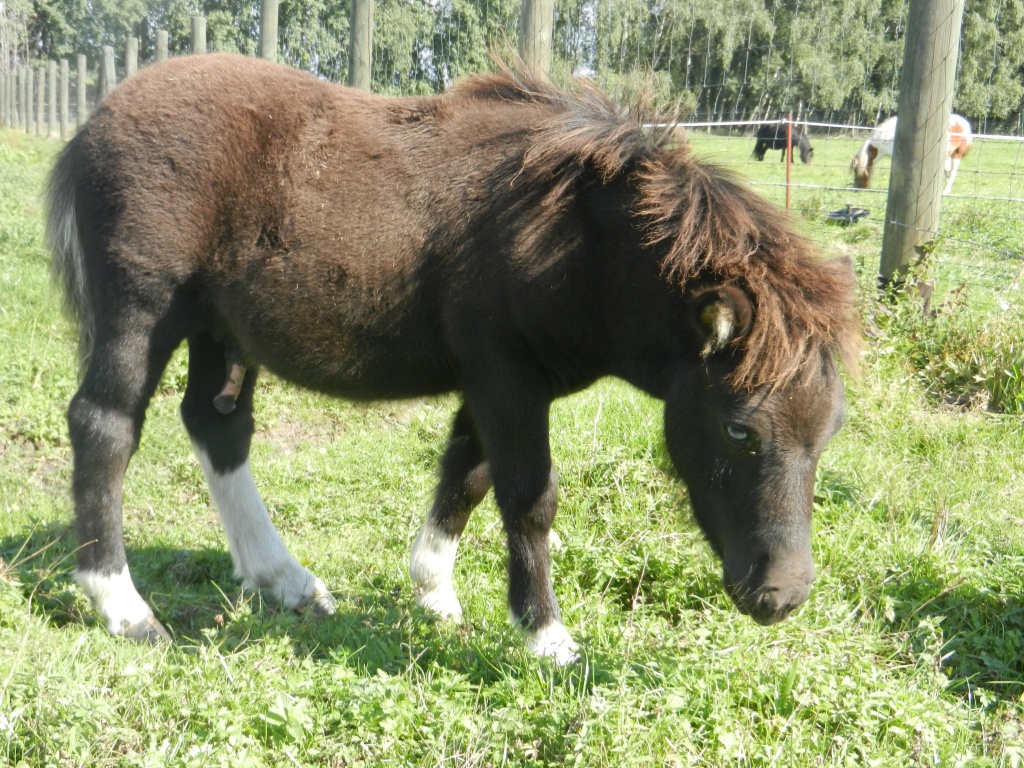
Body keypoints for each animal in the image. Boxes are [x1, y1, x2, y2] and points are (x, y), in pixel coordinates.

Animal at [47, 54, 861, 663]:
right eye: (739, 429)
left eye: (828, 434)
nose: (781, 596)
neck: (574, 238)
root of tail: (93, 121)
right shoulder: (509, 379)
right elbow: (529, 497)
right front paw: (548, 636)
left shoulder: (493, 381)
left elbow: (466, 476)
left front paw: (435, 592)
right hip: (143, 310)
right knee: (104, 426)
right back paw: (124, 607)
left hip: (219, 330)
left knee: (217, 425)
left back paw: (287, 581)